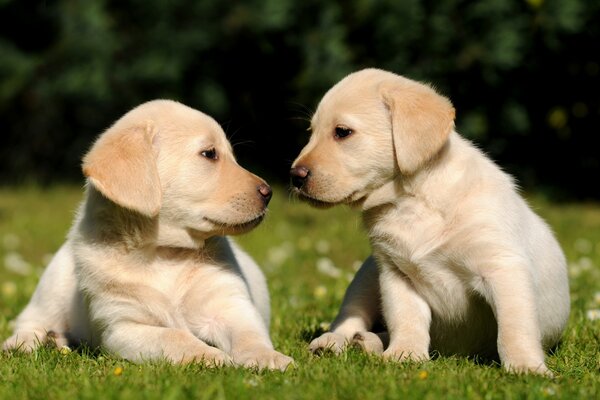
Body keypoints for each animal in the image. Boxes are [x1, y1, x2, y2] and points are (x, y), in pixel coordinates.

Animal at [3, 100, 294, 372]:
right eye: (209, 154)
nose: (268, 192)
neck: (164, 253)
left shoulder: (230, 305)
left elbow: (248, 334)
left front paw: (268, 357)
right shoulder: (124, 327)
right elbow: (174, 337)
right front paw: (210, 356)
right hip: (53, 286)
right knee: (29, 320)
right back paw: (26, 342)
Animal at [292, 68, 568, 376]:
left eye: (342, 132)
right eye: (311, 133)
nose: (294, 176)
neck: (412, 201)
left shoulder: (503, 267)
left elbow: (514, 327)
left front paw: (526, 367)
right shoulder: (395, 273)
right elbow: (406, 318)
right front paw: (405, 354)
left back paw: (368, 342)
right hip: (366, 275)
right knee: (350, 317)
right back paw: (336, 342)